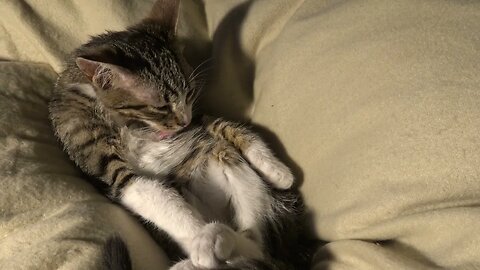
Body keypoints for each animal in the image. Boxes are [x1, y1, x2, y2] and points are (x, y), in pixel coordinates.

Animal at [48, 1, 316, 268]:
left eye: (189, 94)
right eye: (161, 106)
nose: (183, 119)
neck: (136, 124)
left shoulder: (196, 122)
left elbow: (221, 123)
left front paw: (277, 171)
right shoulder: (104, 162)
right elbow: (158, 199)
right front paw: (200, 240)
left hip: (227, 164)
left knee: (258, 245)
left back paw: (217, 240)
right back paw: (201, 249)